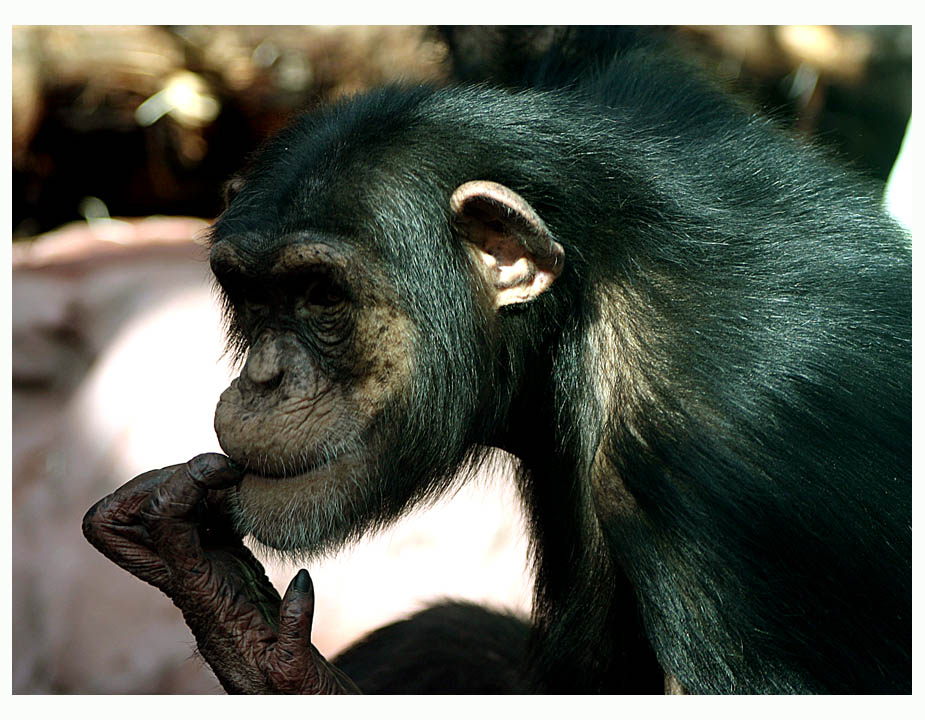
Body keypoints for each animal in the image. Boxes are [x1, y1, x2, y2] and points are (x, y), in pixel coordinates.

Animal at [85, 26, 908, 692]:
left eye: (319, 294)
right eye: (252, 295)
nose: (264, 376)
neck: (577, 308)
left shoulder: (724, 477)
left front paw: (257, 646)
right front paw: (220, 591)